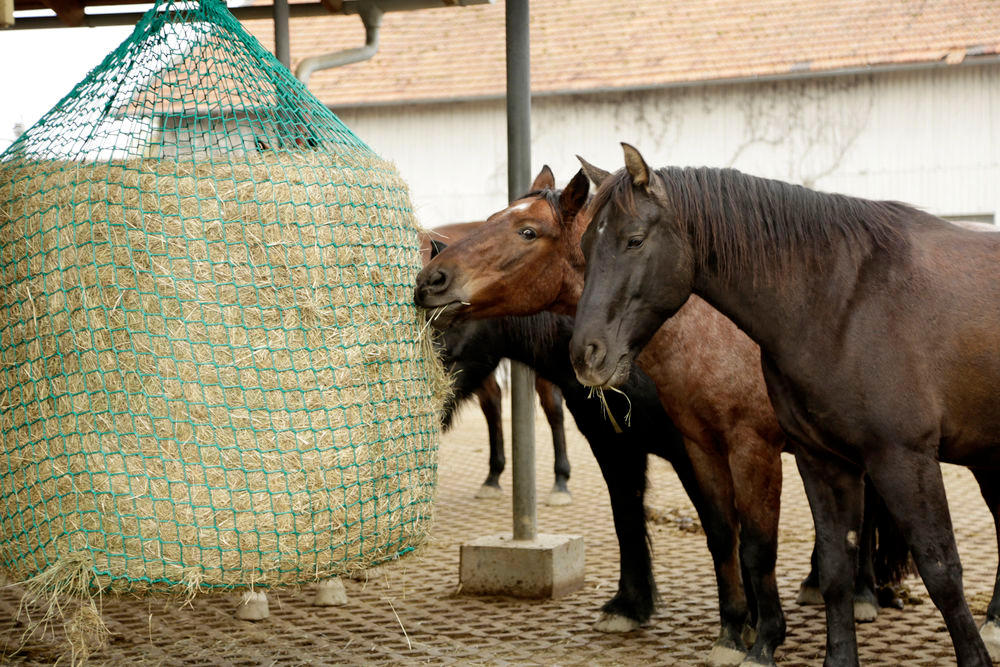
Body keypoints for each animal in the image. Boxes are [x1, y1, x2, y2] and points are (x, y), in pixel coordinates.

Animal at [572, 144, 1000, 664]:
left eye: (634, 240)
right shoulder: (824, 461)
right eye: (585, 248)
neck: (843, 303)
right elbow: (835, 569)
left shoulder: (904, 459)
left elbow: (941, 570)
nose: (586, 354)